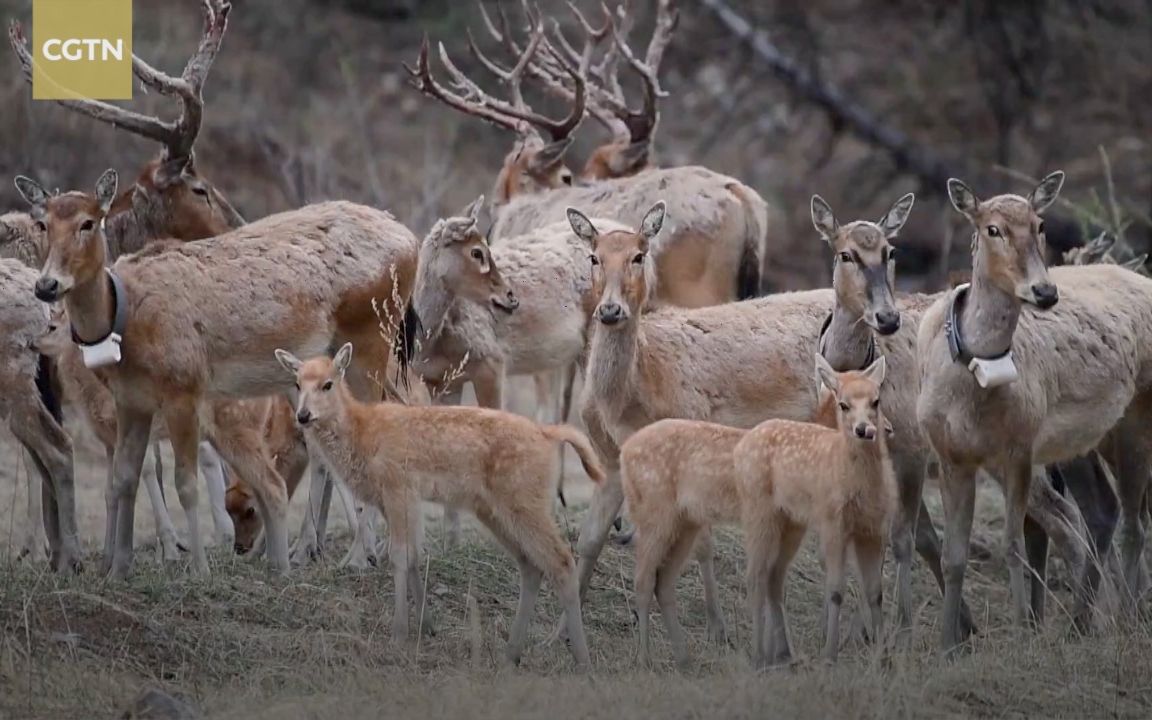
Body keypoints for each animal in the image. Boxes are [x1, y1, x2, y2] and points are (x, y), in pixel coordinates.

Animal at [921, 172, 1152, 649]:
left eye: (1040, 224)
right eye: (992, 228)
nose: (1045, 292)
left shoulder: (1020, 448)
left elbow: (1014, 544)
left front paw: (1022, 633)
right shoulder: (951, 454)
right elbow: (954, 555)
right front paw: (949, 644)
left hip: (1137, 415)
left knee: (1133, 523)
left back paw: (1125, 620)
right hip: (1086, 442)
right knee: (1105, 511)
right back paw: (1082, 623)